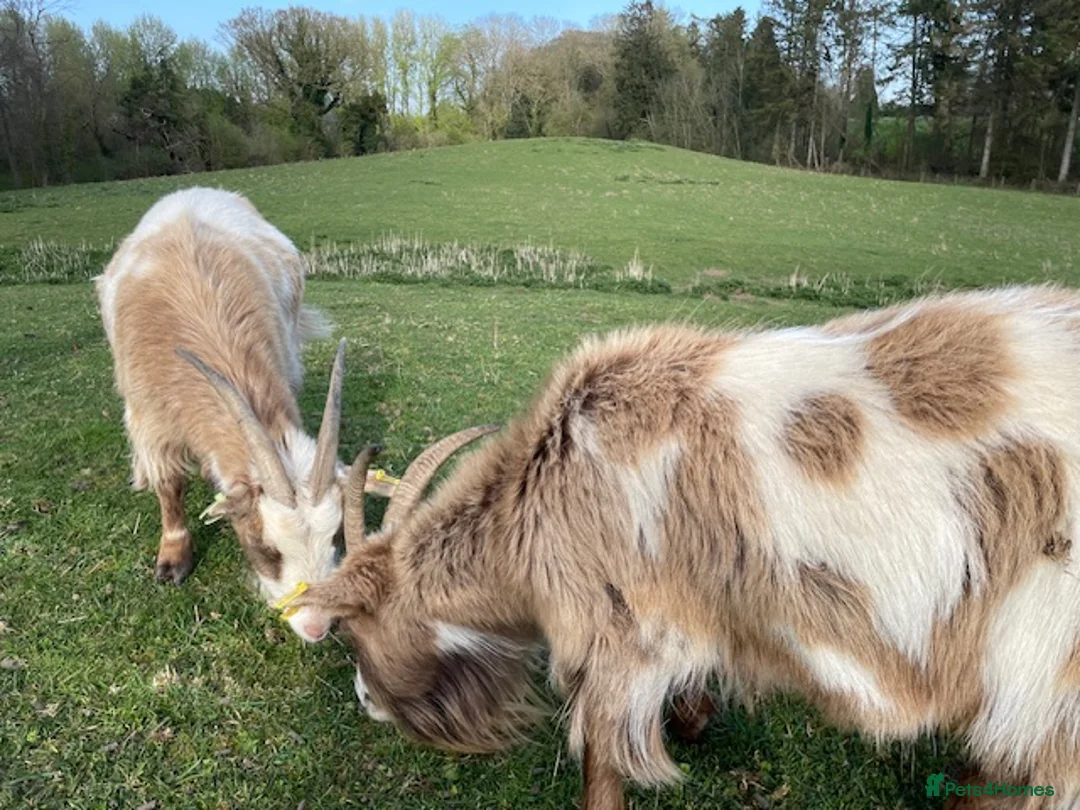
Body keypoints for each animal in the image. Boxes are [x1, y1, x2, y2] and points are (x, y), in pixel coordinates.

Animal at [96, 187, 391, 643]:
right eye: (267, 549)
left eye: (336, 536)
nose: (316, 627)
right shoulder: (151, 418)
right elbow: (170, 485)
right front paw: (173, 558)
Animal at [300, 286, 1080, 808]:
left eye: (356, 628)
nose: (365, 700)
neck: (543, 489)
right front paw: (698, 717)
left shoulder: (626, 637)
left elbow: (603, 763)